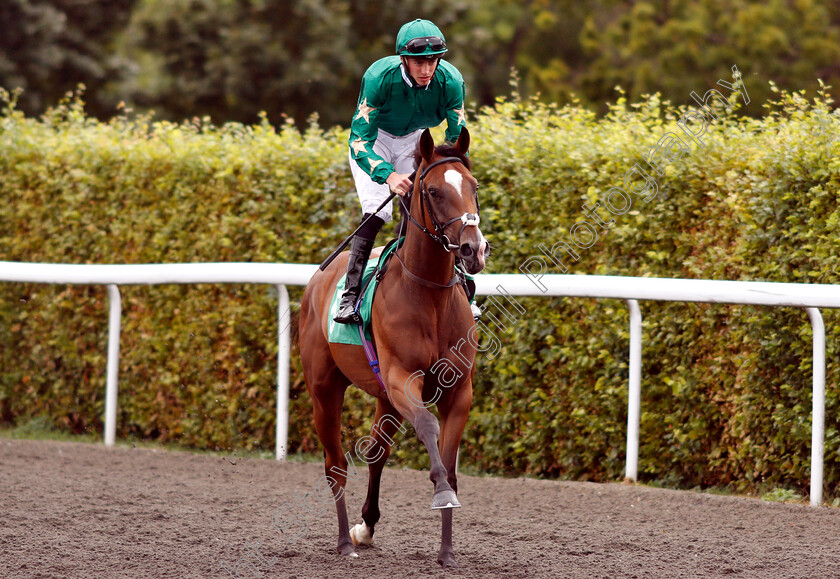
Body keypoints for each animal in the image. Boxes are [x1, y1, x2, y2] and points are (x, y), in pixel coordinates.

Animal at [298, 128, 488, 572]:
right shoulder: (404, 378)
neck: (429, 294)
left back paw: (365, 528)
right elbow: (429, 427)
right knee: (335, 465)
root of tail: (318, 282)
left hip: (384, 396)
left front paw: (447, 550)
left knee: (377, 452)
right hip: (325, 390)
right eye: (433, 191)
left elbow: (449, 463)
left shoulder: (459, 389)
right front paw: (439, 492)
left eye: (473, 187)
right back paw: (344, 541)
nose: (473, 250)